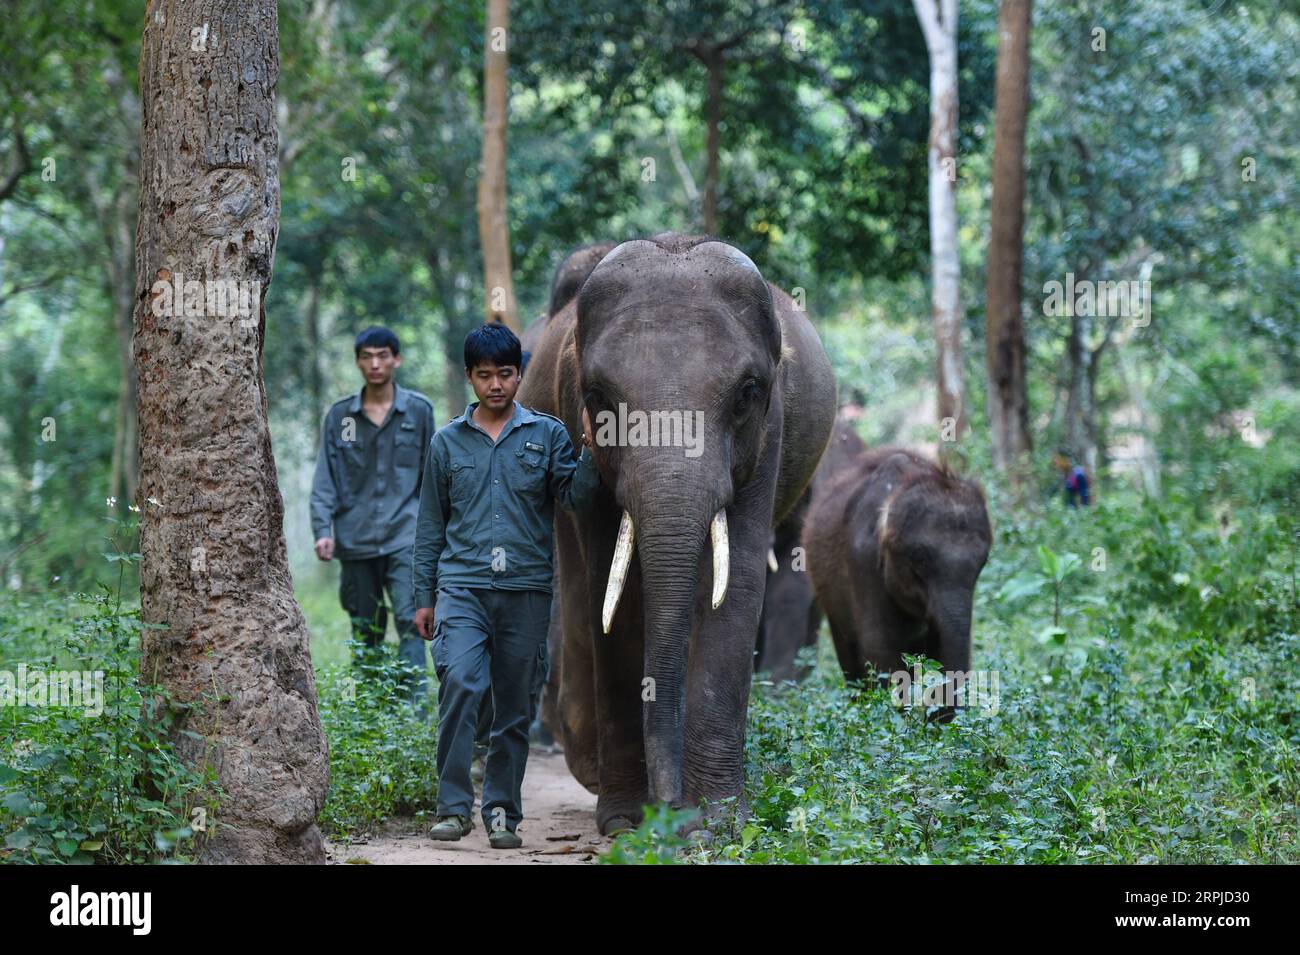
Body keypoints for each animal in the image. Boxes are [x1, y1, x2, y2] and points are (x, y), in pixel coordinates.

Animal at [517, 233, 832, 836]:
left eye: (746, 394)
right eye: (598, 397)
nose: (669, 813)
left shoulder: (770, 433)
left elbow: (736, 587)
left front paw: (716, 821)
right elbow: (612, 593)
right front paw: (624, 821)